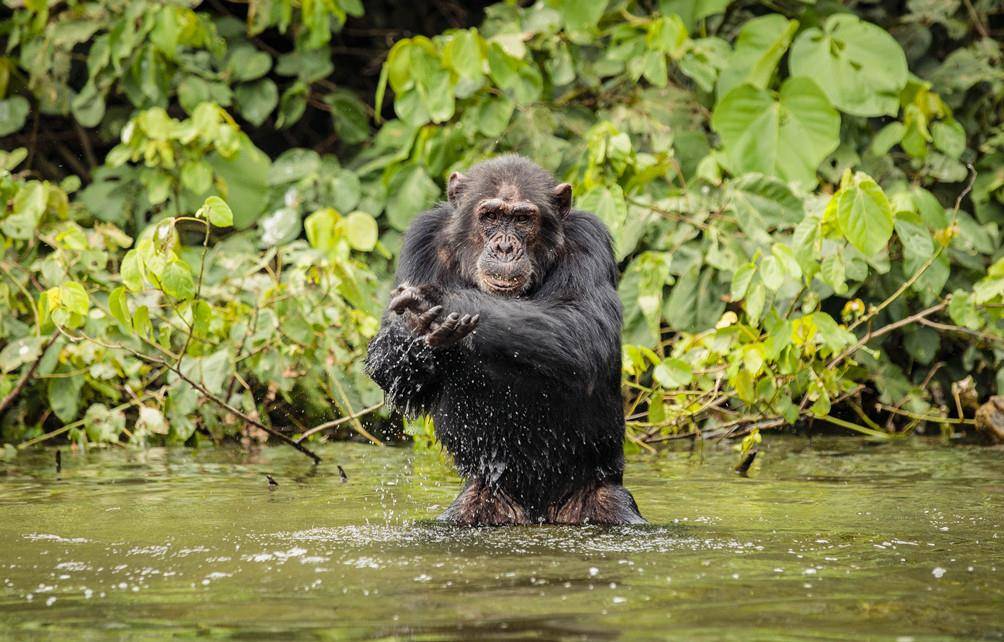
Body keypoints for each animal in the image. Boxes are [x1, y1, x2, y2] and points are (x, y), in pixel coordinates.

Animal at [367, 155, 642, 526]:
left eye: (523, 219)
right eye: (492, 216)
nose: (505, 246)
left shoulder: (589, 239)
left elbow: (585, 329)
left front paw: (439, 301)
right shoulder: (420, 239)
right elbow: (393, 371)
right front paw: (406, 331)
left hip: (598, 491)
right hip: (485, 496)